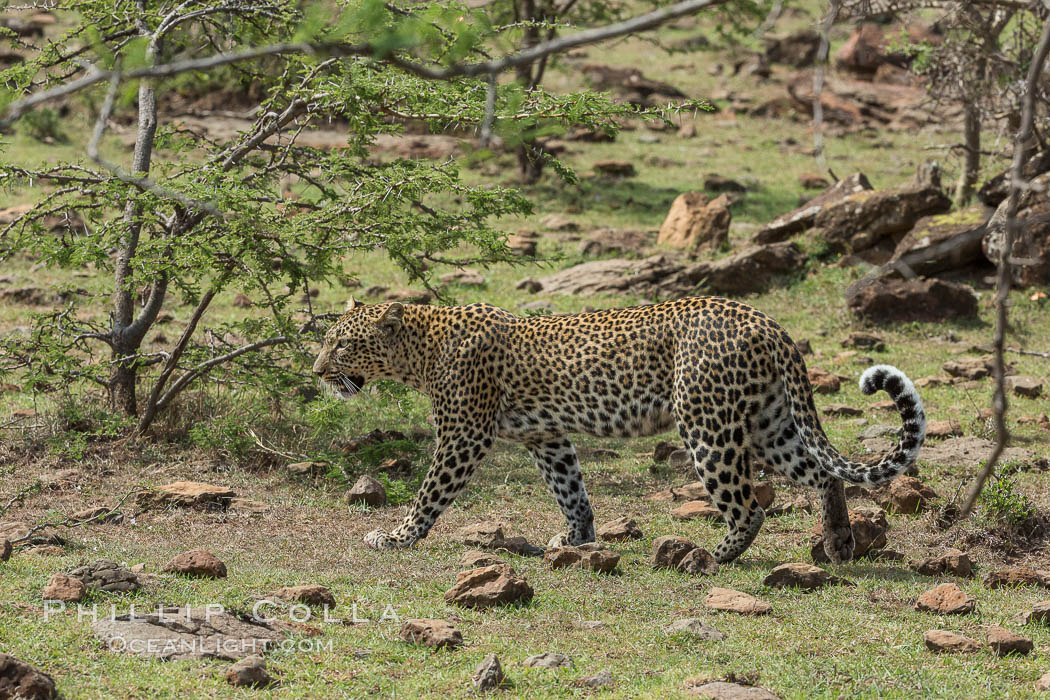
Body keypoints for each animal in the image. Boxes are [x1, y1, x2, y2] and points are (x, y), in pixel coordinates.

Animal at [312, 293, 928, 562]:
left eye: (341, 344)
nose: (317, 371)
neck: (420, 349)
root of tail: (767, 321)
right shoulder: (546, 437)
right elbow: (571, 489)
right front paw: (577, 539)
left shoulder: (464, 435)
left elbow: (429, 493)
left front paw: (397, 536)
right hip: (769, 422)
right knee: (824, 474)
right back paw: (838, 542)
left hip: (707, 424)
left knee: (749, 504)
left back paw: (712, 557)